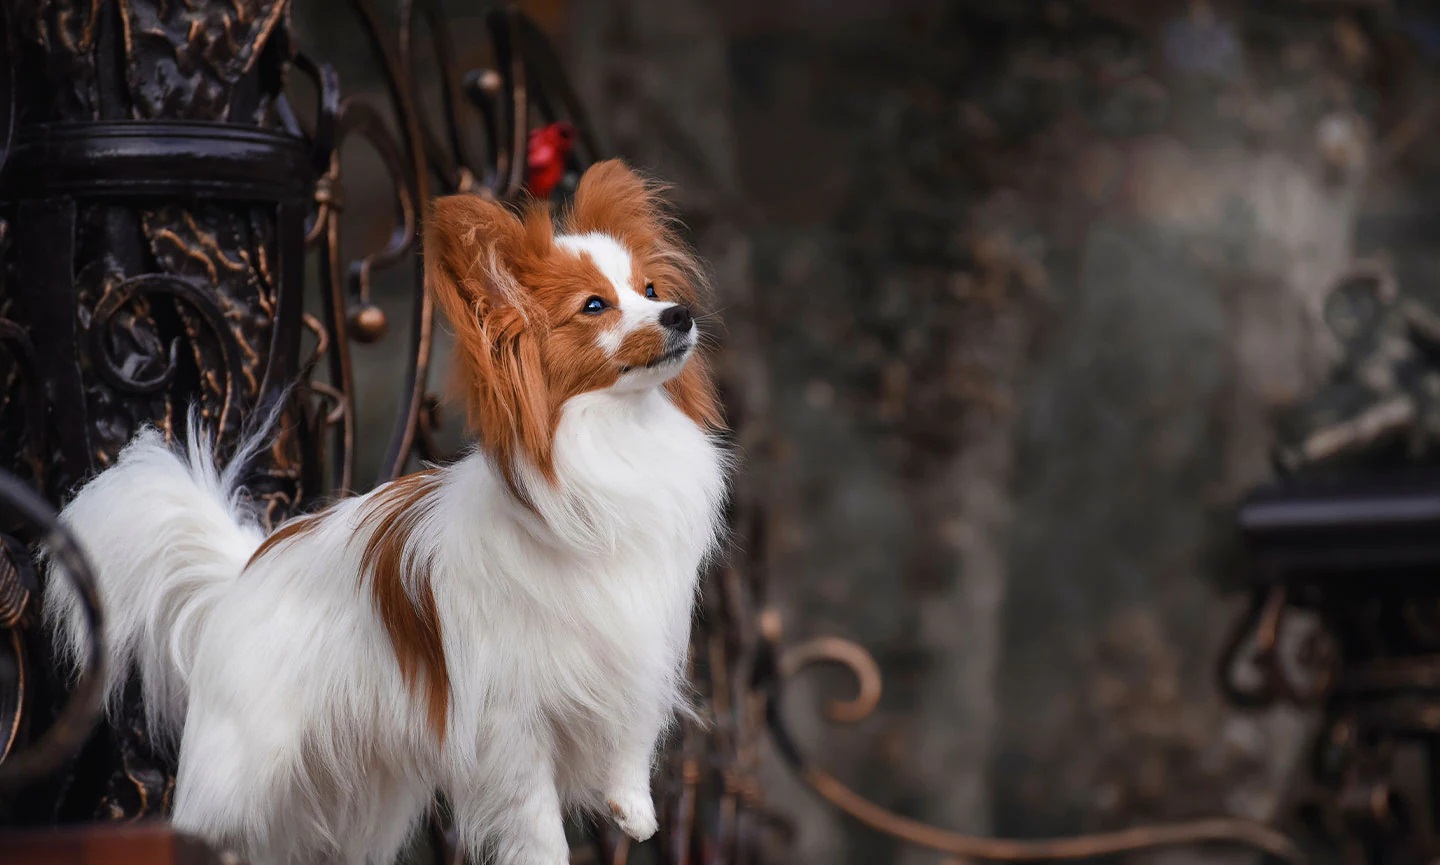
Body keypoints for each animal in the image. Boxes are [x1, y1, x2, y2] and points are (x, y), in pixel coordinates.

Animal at [42, 160, 731, 863]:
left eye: (650, 288)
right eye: (594, 306)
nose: (679, 315)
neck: (614, 441)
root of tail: (244, 570)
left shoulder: (635, 644)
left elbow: (631, 738)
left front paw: (633, 809)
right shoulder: (508, 726)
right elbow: (538, 825)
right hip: (245, 769)